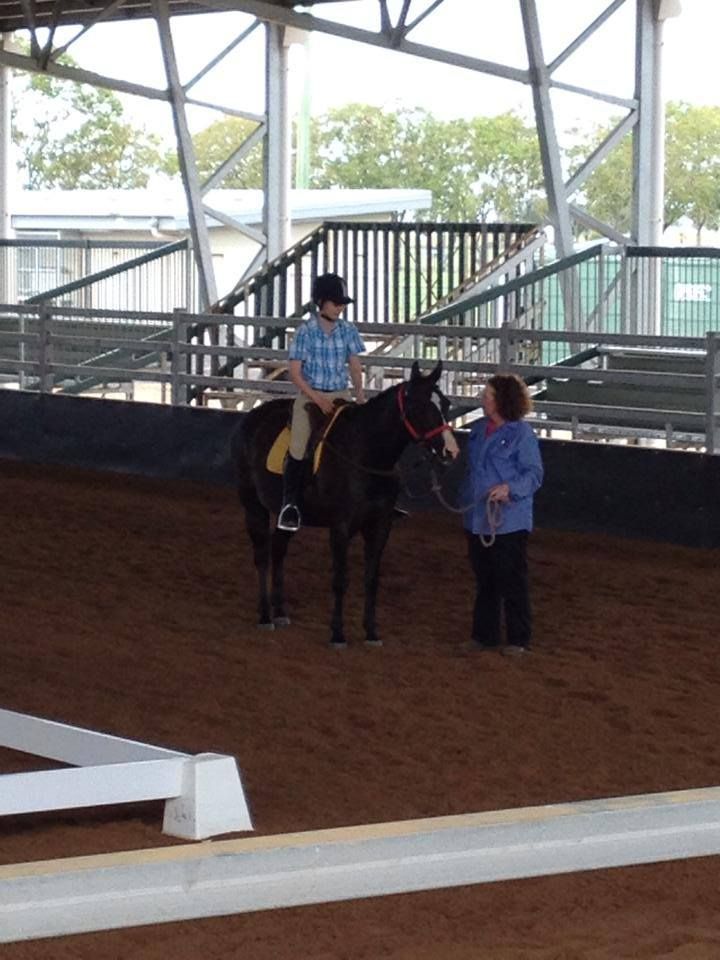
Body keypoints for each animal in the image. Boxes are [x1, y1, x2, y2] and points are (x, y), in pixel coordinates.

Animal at [233, 360, 452, 647]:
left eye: (446, 404)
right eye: (421, 406)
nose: (450, 450)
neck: (365, 454)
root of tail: (250, 418)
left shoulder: (380, 527)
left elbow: (371, 580)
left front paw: (371, 633)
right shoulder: (340, 527)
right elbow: (340, 580)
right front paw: (338, 634)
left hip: (288, 517)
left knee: (278, 549)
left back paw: (280, 613)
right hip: (253, 506)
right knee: (261, 555)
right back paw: (265, 617)